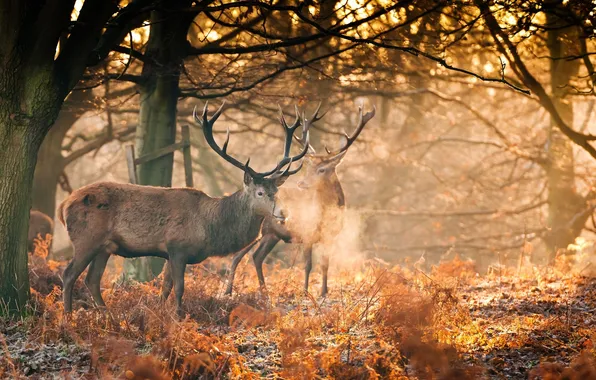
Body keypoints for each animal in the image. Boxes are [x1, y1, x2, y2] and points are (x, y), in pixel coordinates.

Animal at [57, 102, 310, 314]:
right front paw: (178, 317)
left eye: (276, 191)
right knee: (69, 274)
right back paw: (68, 317)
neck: (210, 227)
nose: (283, 213)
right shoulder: (177, 246)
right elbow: (179, 288)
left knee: (92, 279)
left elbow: (165, 289)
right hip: (86, 238)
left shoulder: (169, 252)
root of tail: (63, 205)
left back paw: (106, 314)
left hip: (105, 246)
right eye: (260, 192)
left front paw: (160, 315)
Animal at [226, 104, 374, 296]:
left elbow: (325, 265)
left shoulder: (330, 237)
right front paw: (305, 292)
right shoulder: (307, 233)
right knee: (237, 256)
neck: (325, 214)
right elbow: (308, 265)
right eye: (308, 168)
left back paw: (263, 290)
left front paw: (324, 292)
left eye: (322, 169)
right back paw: (229, 291)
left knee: (257, 257)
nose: (301, 183)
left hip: (272, 234)